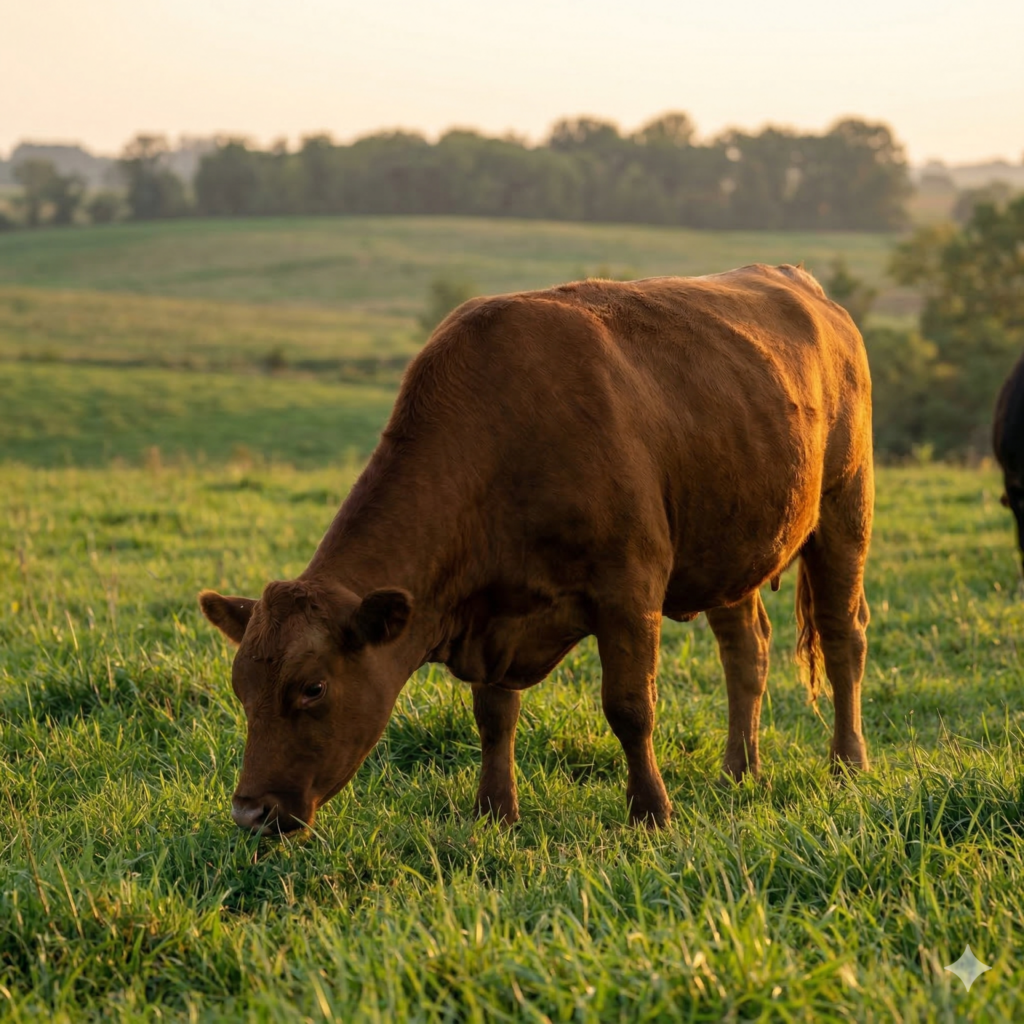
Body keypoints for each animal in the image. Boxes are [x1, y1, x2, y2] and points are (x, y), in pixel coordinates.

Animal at [199, 264, 874, 833]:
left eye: (312, 688)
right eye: (240, 688)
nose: (249, 812)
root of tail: (802, 283)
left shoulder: (630, 586)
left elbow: (630, 707)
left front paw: (651, 813)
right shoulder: (494, 612)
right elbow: (494, 716)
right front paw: (495, 811)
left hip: (845, 508)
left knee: (843, 637)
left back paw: (848, 764)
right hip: (728, 544)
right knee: (746, 652)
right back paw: (739, 770)